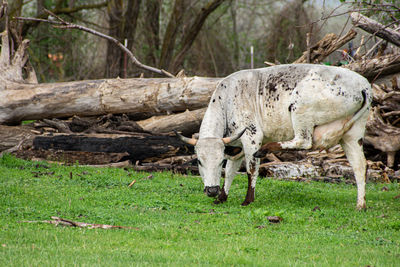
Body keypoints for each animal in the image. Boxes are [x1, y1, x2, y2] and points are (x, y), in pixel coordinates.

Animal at [177, 63, 374, 210]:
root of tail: (363, 86)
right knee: (359, 166)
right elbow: (231, 170)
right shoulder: (236, 145)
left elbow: (251, 169)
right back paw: (360, 204)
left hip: (300, 110)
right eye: (199, 161)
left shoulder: (251, 136)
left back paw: (267, 149)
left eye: (219, 161)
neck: (226, 101)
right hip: (352, 135)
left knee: (304, 141)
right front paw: (222, 197)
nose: (211, 190)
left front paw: (248, 200)